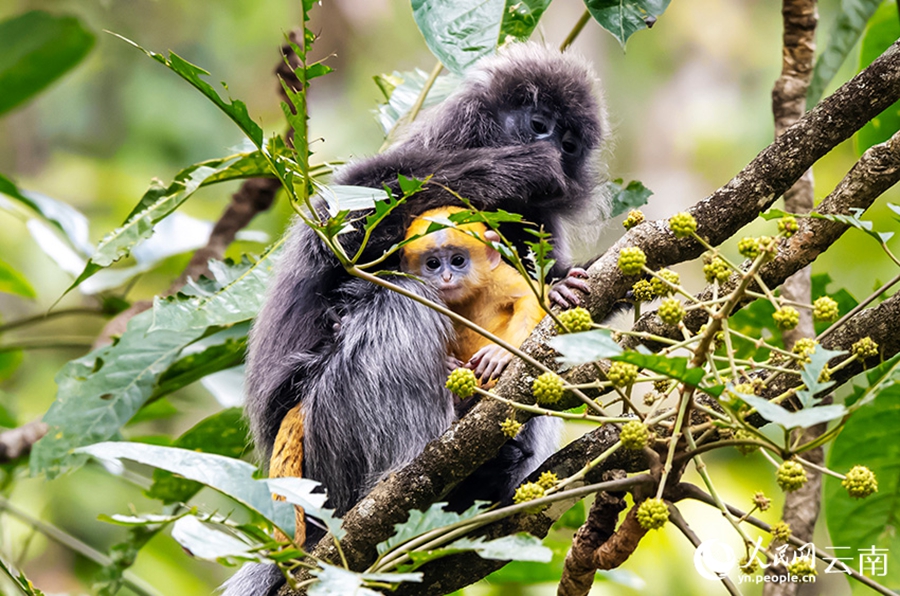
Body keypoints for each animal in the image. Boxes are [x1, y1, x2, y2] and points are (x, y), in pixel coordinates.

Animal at [402, 206, 544, 382]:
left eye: (457, 260)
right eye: (433, 263)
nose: (446, 277)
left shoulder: (496, 277)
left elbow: (530, 294)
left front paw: (502, 351)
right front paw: (446, 363)